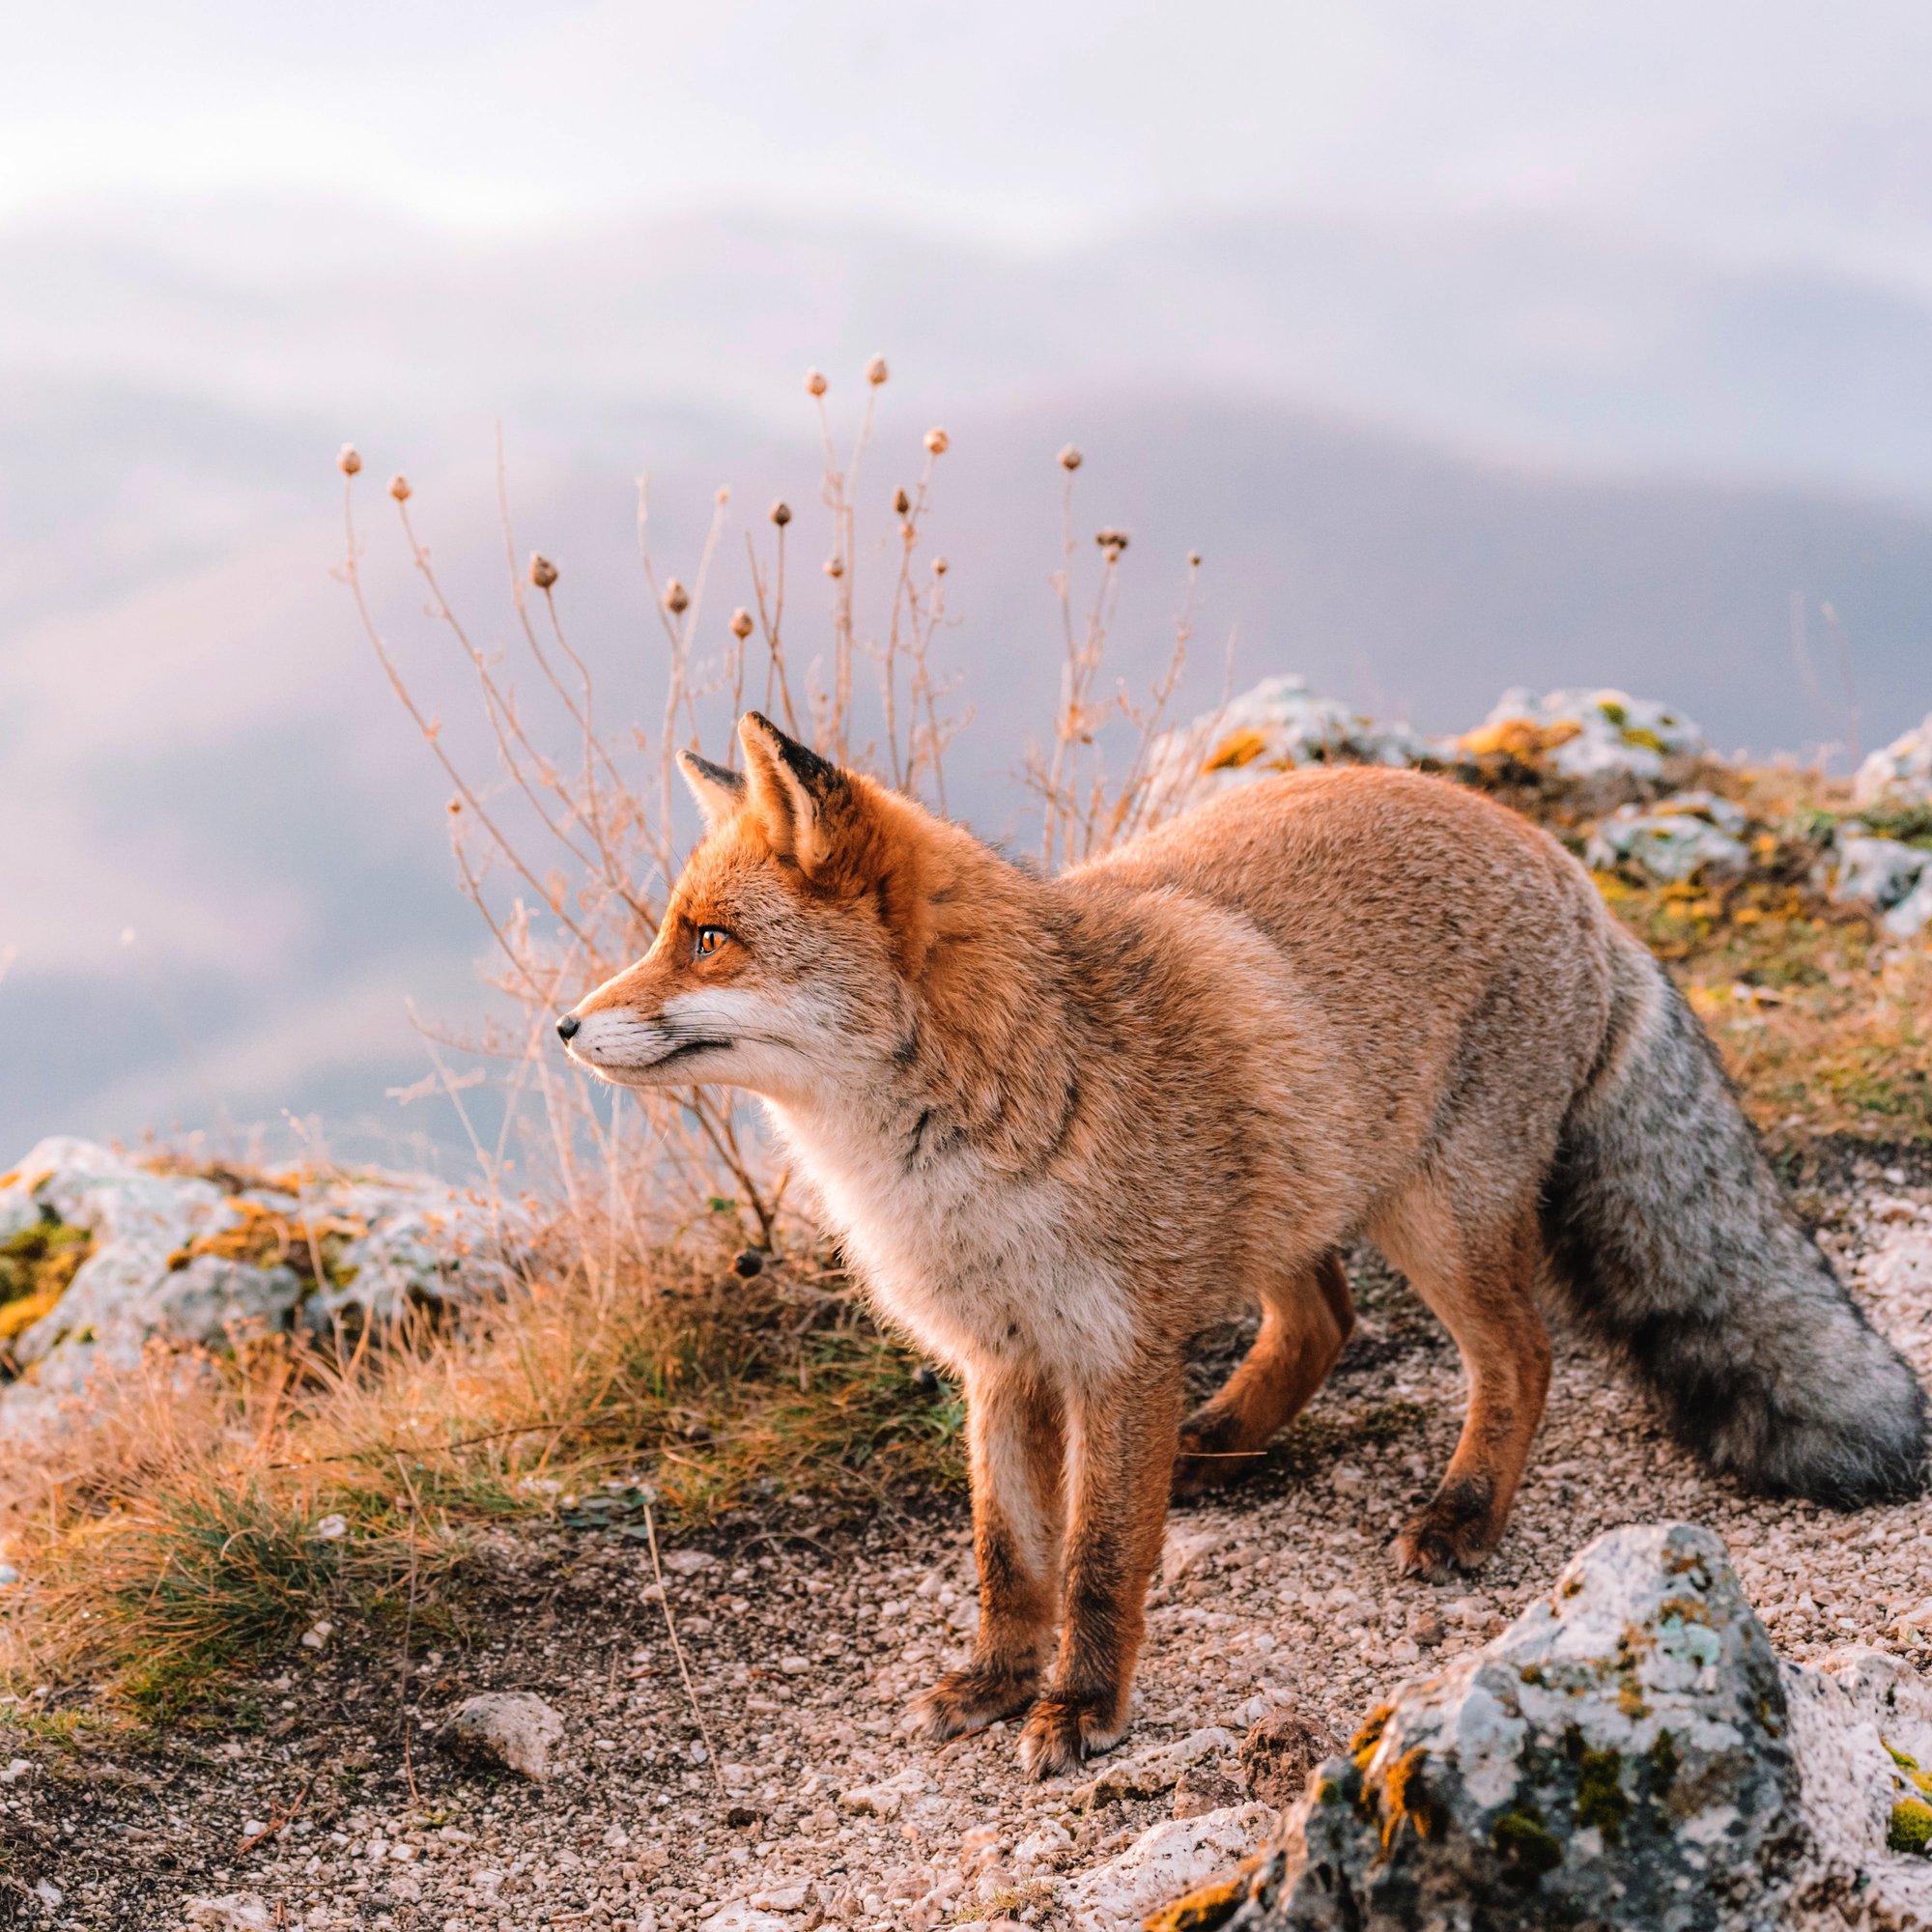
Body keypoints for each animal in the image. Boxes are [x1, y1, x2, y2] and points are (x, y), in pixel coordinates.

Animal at [559, 710, 1926, 1778]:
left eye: (706, 938)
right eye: (672, 930)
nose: (563, 1026)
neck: (951, 1155)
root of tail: (1565, 865)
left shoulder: (1113, 1356)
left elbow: (1098, 1559)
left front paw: (1078, 1707)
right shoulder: (1002, 1362)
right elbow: (1010, 1557)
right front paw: (996, 1679)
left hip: (1431, 1214)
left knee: (1520, 1356)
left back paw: (1462, 1514)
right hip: (1297, 1183)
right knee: (1325, 1317)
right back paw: (1221, 1439)